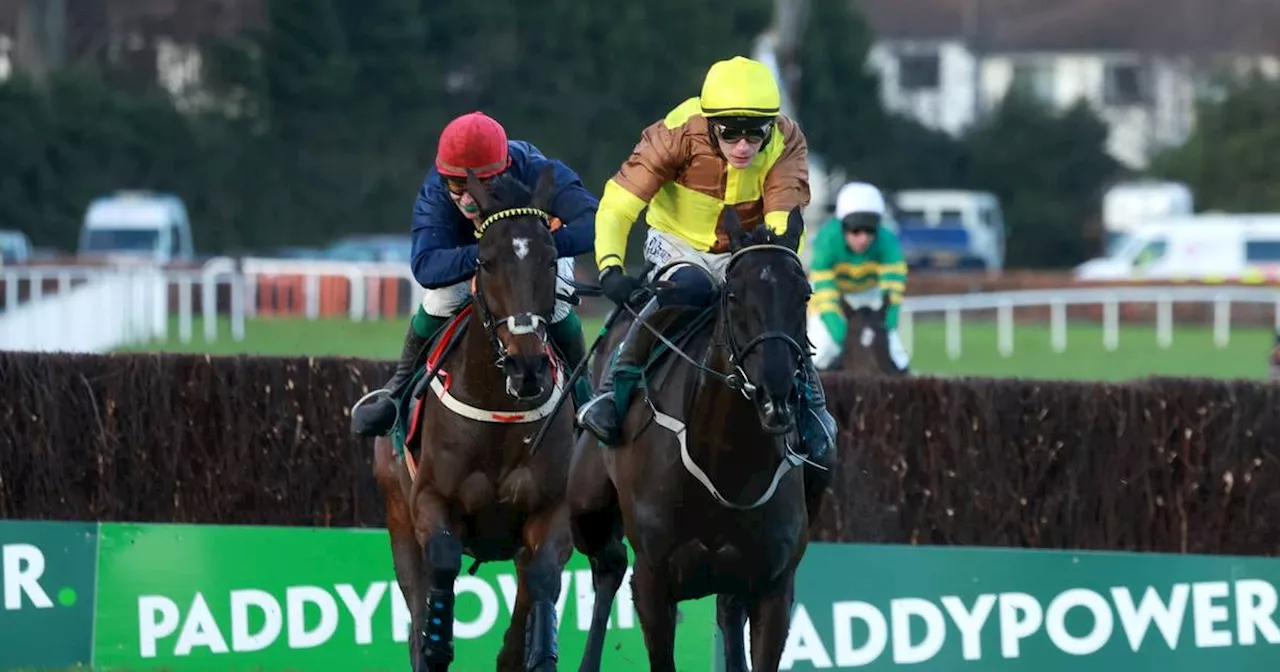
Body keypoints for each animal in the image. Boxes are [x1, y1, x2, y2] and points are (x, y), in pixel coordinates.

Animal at [373, 166, 576, 670]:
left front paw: (539, 651)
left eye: (550, 260)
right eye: (484, 261)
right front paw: (437, 643)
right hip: (397, 516)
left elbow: (542, 579)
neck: (500, 412)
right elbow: (443, 561)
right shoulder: (429, 501)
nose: (527, 367)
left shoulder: (552, 510)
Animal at [573, 207, 819, 665]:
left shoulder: (773, 587)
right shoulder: (652, 584)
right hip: (586, 504)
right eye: (734, 296)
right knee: (607, 567)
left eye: (805, 296)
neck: (724, 464)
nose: (776, 392)